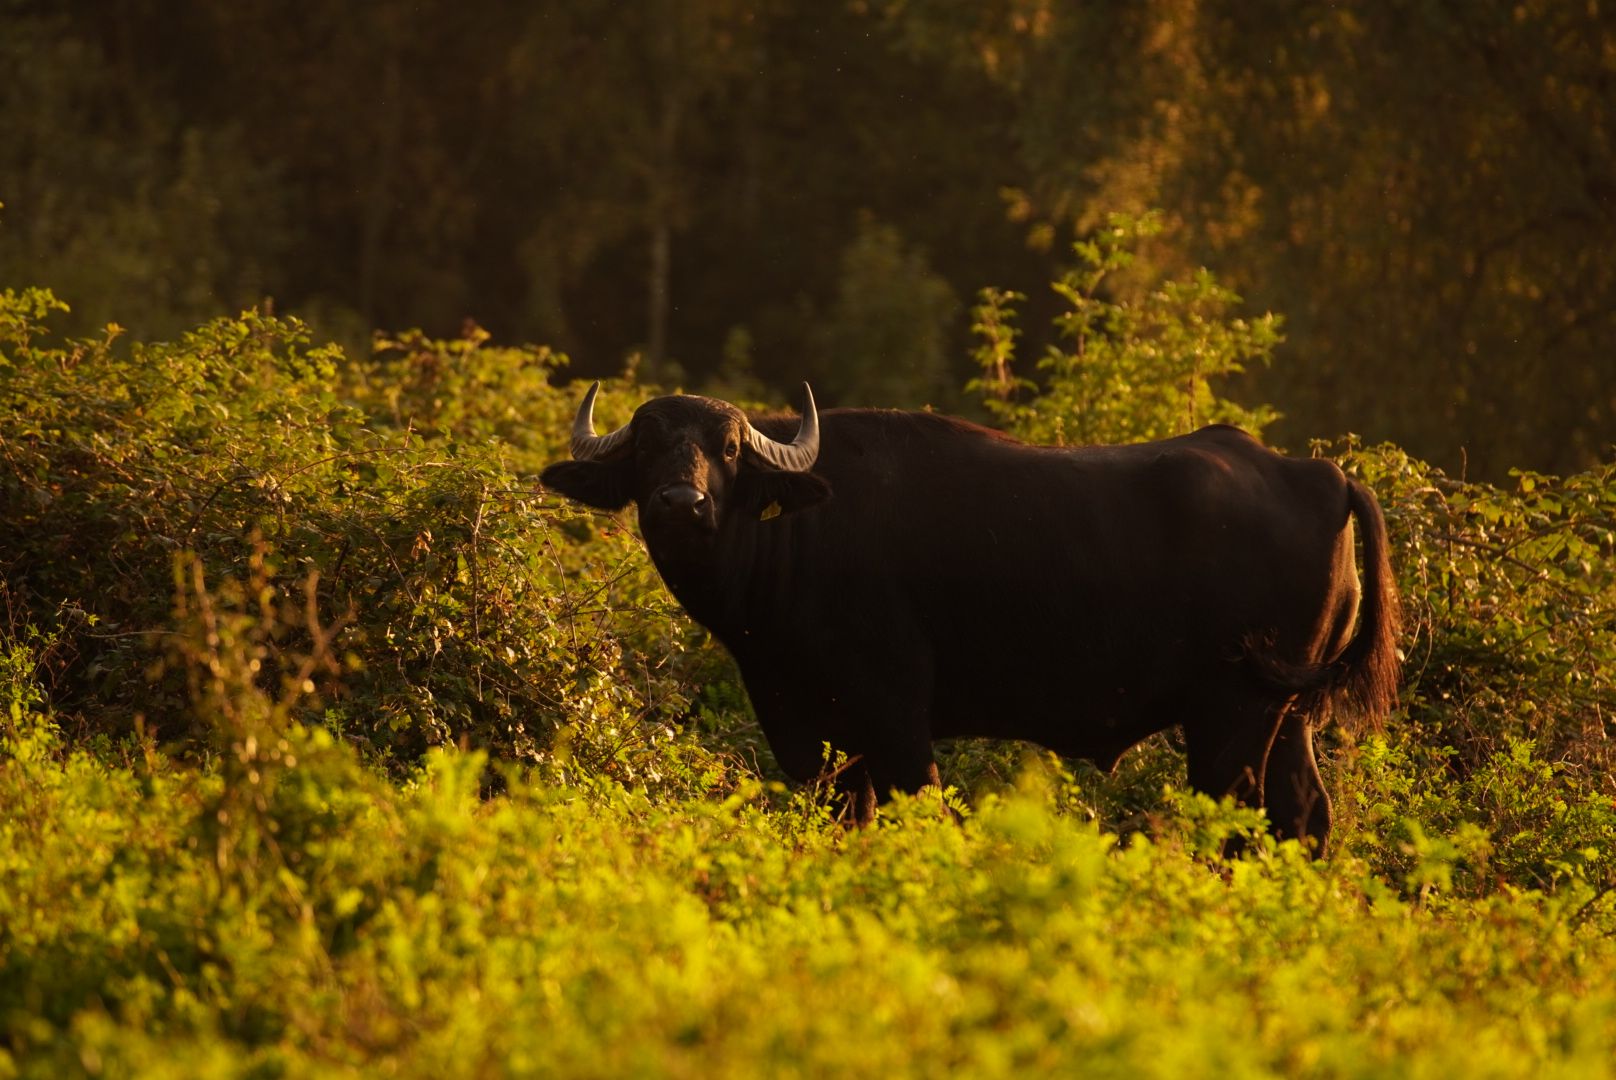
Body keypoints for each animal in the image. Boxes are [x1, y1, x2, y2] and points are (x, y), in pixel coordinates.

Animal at [541, 383, 1399, 851]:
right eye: (648, 447)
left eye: (725, 448)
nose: (679, 503)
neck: (798, 534)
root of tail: (1317, 474)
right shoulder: (811, 736)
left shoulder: (894, 719)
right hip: (1289, 713)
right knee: (1304, 816)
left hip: (1233, 714)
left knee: (1237, 817)